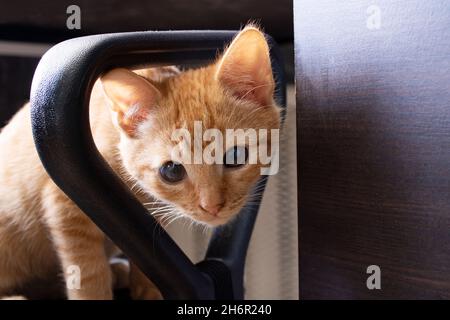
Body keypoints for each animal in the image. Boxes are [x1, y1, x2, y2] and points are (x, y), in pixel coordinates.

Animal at [0, 26, 280, 298]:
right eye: (172, 170)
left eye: (235, 156)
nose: (212, 207)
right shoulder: (64, 204)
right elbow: (87, 272)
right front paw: (97, 291)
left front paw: (148, 291)